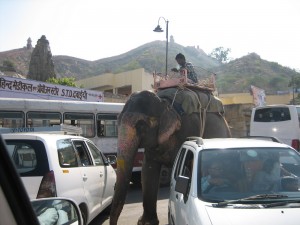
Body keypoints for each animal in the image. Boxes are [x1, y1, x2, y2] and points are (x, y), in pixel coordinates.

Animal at [109, 88, 231, 225]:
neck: (165, 104)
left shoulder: (186, 131)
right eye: (117, 122)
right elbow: (147, 171)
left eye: (141, 125)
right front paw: (146, 223)